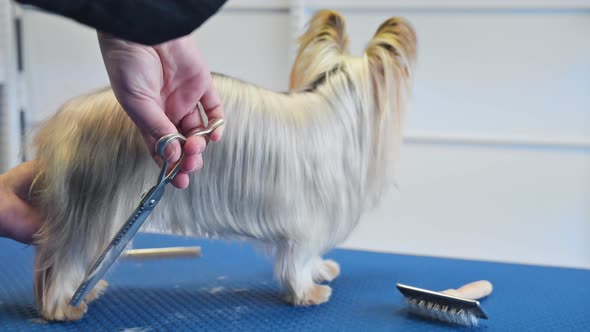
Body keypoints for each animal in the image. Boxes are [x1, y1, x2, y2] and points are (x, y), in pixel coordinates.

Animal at [27, 11, 416, 322]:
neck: (337, 104)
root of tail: (64, 123)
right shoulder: (307, 221)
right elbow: (299, 260)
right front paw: (308, 292)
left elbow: (311, 257)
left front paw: (322, 270)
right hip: (99, 210)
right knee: (66, 261)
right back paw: (64, 307)